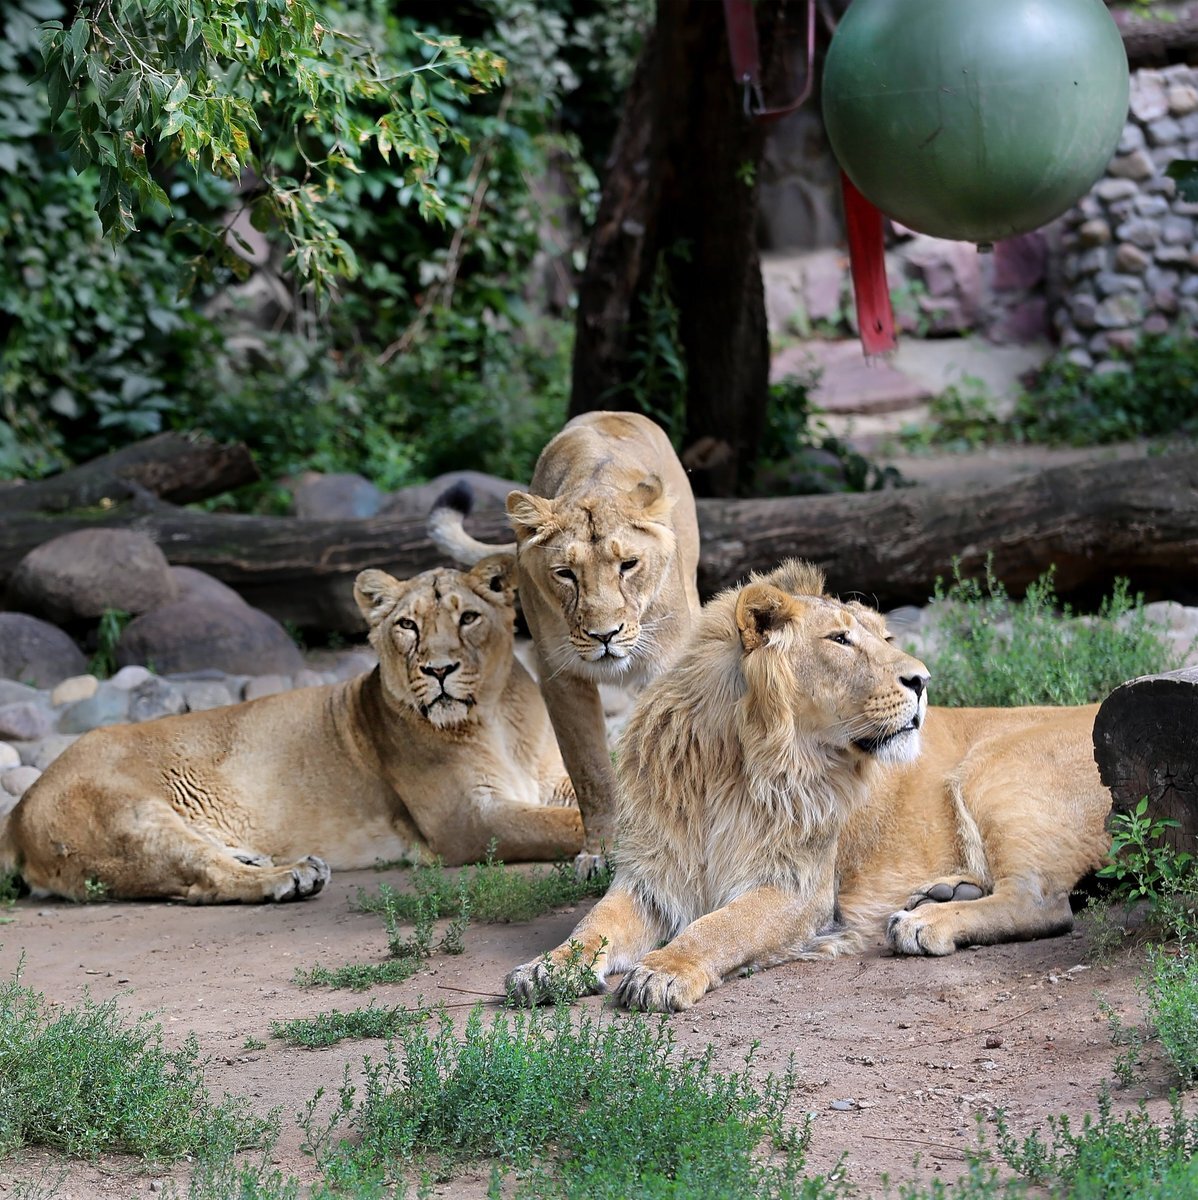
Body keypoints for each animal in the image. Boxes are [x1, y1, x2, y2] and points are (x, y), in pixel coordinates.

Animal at [3, 556, 585, 902]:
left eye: (468, 618)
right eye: (407, 625)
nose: (437, 670)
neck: (493, 718)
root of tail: (21, 806)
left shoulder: (550, 779)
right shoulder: (468, 821)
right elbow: (562, 824)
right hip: (133, 818)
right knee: (202, 879)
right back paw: (290, 876)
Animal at [429, 408, 701, 868]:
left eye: (629, 564)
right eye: (565, 574)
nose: (604, 635)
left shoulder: (664, 669)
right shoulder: (560, 676)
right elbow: (590, 770)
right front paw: (599, 853)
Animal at [501, 556, 1109, 1008]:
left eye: (885, 636)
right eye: (840, 640)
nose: (922, 680)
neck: (734, 766)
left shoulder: (799, 888)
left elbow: (720, 927)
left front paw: (663, 972)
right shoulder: (653, 875)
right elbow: (593, 925)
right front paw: (546, 968)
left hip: (993, 769)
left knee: (1043, 903)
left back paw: (924, 923)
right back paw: (940, 894)